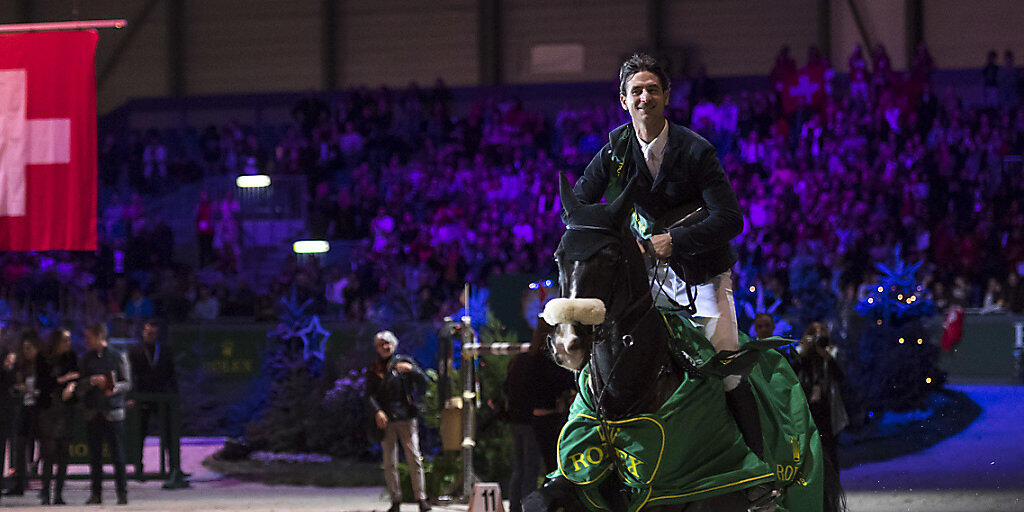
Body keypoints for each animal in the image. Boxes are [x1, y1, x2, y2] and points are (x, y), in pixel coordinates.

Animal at [524, 175, 835, 512]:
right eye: (558, 256)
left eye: (609, 257)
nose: (567, 344)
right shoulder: (583, 474)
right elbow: (539, 498)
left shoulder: (682, 490)